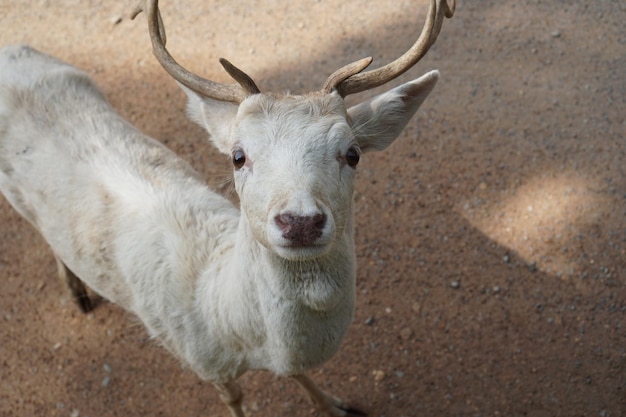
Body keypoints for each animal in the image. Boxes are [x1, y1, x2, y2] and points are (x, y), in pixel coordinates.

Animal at [0, 1, 450, 414]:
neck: (230, 322)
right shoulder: (201, 362)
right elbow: (235, 399)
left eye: (353, 153)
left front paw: (337, 406)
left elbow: (300, 375)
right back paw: (76, 294)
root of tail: (10, 51)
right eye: (238, 156)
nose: (300, 222)